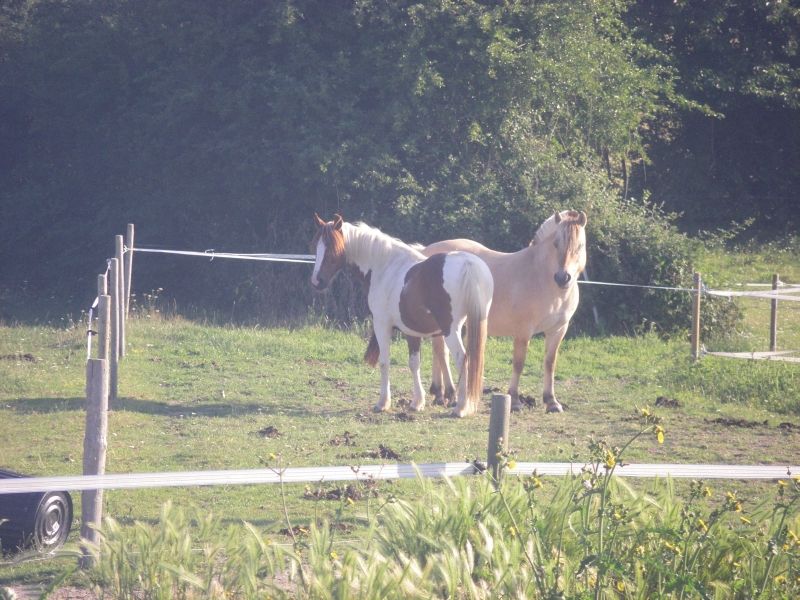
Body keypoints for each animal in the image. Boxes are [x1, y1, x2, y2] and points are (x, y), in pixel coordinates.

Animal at [310, 214, 494, 418]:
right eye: (315, 245)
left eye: (333, 248)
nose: (316, 281)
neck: (385, 267)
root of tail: (469, 264)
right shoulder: (411, 331)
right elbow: (414, 364)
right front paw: (417, 402)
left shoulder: (382, 325)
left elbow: (384, 362)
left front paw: (383, 403)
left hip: (451, 331)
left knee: (463, 360)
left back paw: (461, 407)